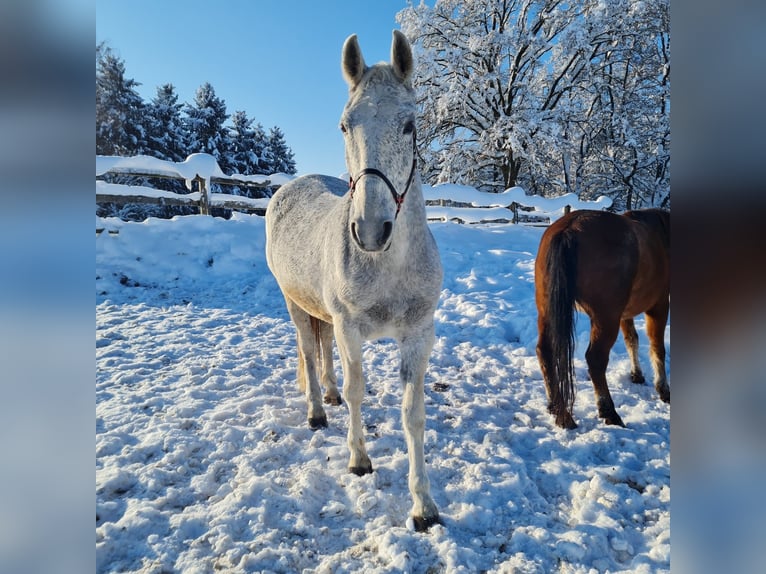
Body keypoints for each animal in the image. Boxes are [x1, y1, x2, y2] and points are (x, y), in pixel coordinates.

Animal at [268, 30, 444, 536]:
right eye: (345, 126)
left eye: (409, 125)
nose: (369, 230)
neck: (388, 266)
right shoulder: (350, 329)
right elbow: (356, 392)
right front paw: (359, 460)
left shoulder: (418, 334)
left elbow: (413, 415)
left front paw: (423, 505)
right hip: (294, 303)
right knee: (309, 352)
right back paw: (316, 409)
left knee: (321, 349)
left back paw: (325, 392)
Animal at [536, 209, 668, 430]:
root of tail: (569, 227)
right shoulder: (659, 305)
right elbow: (658, 347)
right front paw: (663, 389)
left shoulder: (624, 313)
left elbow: (632, 339)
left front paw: (637, 374)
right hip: (605, 318)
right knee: (595, 359)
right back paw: (609, 412)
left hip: (547, 311)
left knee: (544, 352)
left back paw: (557, 409)